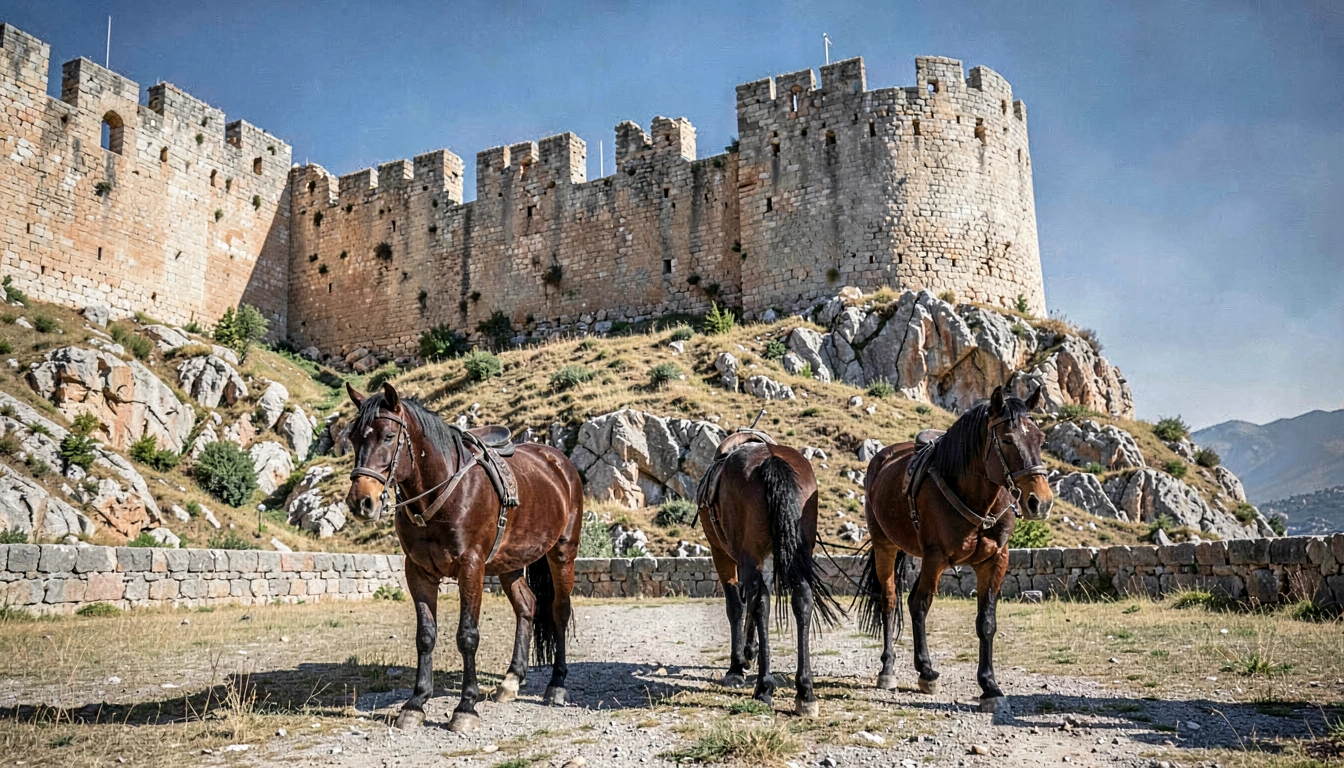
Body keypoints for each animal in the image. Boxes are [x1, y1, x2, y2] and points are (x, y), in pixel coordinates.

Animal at [344, 382, 584, 733]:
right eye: (352, 437)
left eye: (388, 436)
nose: (361, 501)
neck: (440, 494)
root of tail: (560, 463)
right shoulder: (417, 571)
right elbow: (425, 636)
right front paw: (416, 703)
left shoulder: (470, 568)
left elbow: (467, 636)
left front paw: (466, 707)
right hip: (510, 564)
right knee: (527, 606)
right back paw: (512, 680)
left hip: (563, 552)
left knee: (559, 611)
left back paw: (557, 685)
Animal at [696, 427, 844, 717]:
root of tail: (771, 459)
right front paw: (749, 652)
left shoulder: (722, 553)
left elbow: (736, 606)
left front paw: (737, 666)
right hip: (797, 550)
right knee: (801, 599)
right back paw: (805, 692)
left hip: (745, 553)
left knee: (760, 603)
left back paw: (764, 687)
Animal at [855, 385, 1053, 715]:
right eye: (1007, 439)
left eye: (1041, 438)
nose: (1041, 502)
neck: (975, 494)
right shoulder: (935, 557)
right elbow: (920, 605)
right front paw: (926, 673)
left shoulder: (994, 561)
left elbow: (986, 622)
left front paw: (990, 687)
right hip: (886, 546)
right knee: (892, 602)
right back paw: (889, 670)